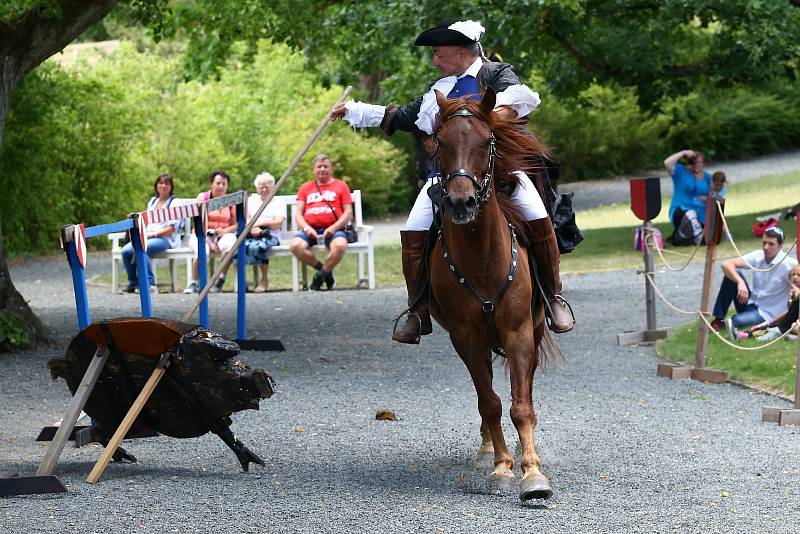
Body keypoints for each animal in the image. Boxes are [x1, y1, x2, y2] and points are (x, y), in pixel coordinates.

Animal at [428, 88, 560, 502]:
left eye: (487, 141)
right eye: (440, 141)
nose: (460, 202)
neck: (481, 258)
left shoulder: (519, 332)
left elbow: (521, 405)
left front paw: (532, 473)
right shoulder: (466, 338)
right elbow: (490, 402)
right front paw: (502, 467)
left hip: (533, 331)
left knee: (524, 389)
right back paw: (490, 450)